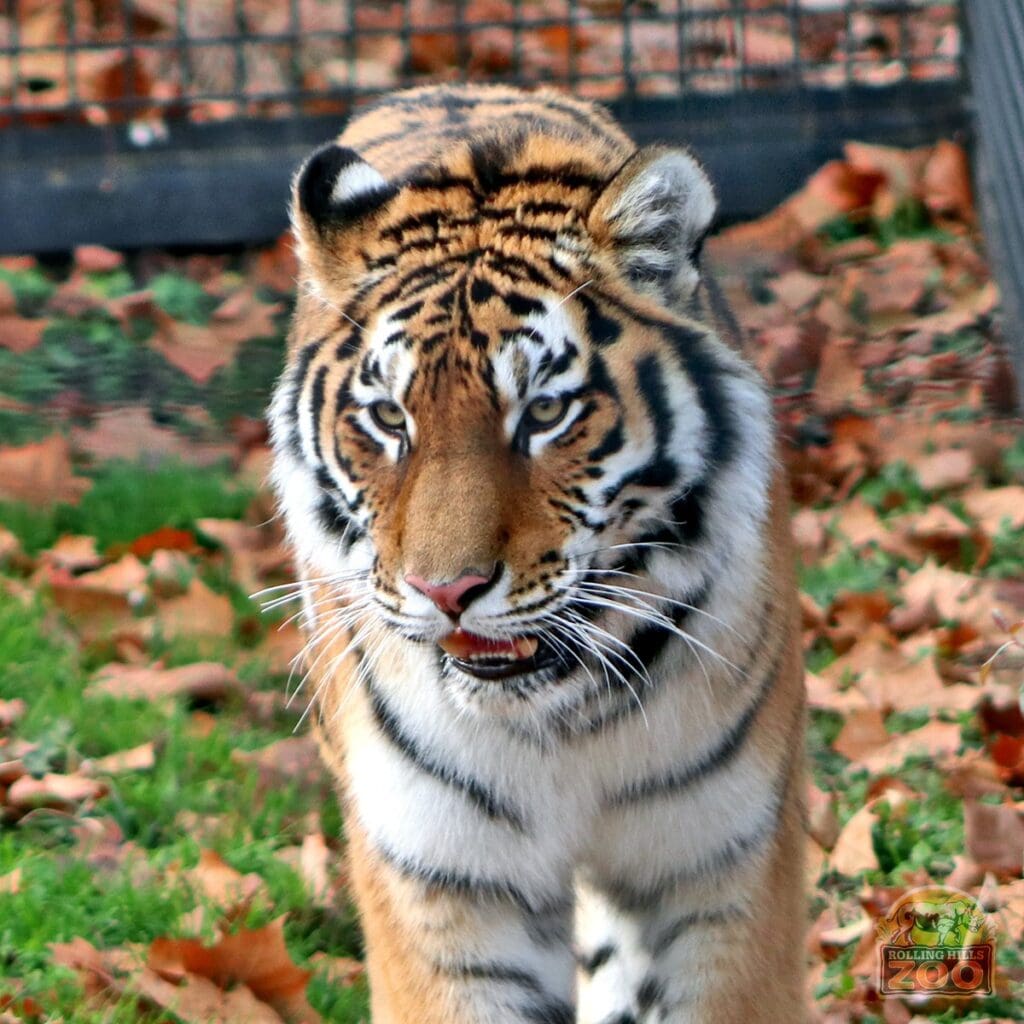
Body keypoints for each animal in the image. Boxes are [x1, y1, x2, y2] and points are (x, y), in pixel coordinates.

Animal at [269, 83, 806, 1024]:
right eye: (390, 418)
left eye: (546, 413)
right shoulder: (442, 878)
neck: (559, 726)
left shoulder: (725, 861)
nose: (446, 590)